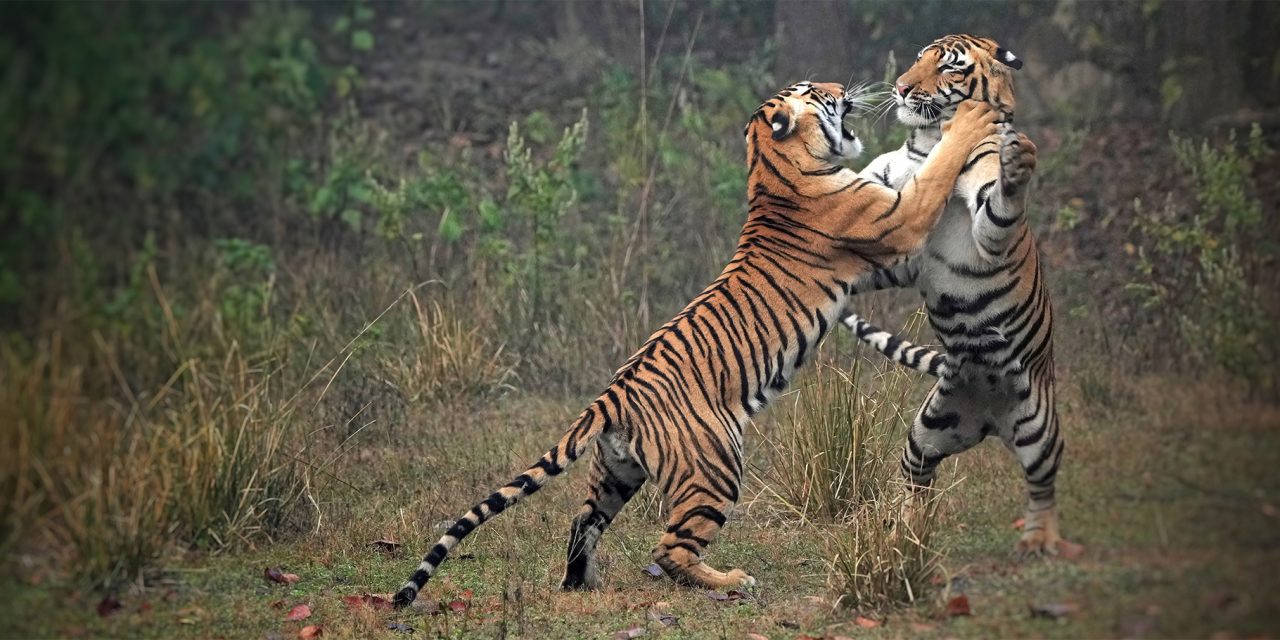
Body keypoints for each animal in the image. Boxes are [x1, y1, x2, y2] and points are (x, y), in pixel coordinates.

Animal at [391, 81, 1000, 607]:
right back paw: (730, 580)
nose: (841, 88)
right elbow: (936, 174)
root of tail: (610, 396)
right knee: (669, 548)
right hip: (715, 465)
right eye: (813, 91)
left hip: (616, 472)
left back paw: (582, 582)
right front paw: (968, 125)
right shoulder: (895, 223)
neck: (772, 166)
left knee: (583, 520)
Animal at [840, 34, 1067, 556]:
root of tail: (990, 418)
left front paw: (1017, 165)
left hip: (1041, 426)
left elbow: (998, 204)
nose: (902, 87)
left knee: (1042, 485)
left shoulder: (981, 222)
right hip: (928, 430)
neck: (925, 144)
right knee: (917, 479)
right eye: (918, 59)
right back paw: (904, 533)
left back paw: (1039, 541)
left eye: (948, 68)